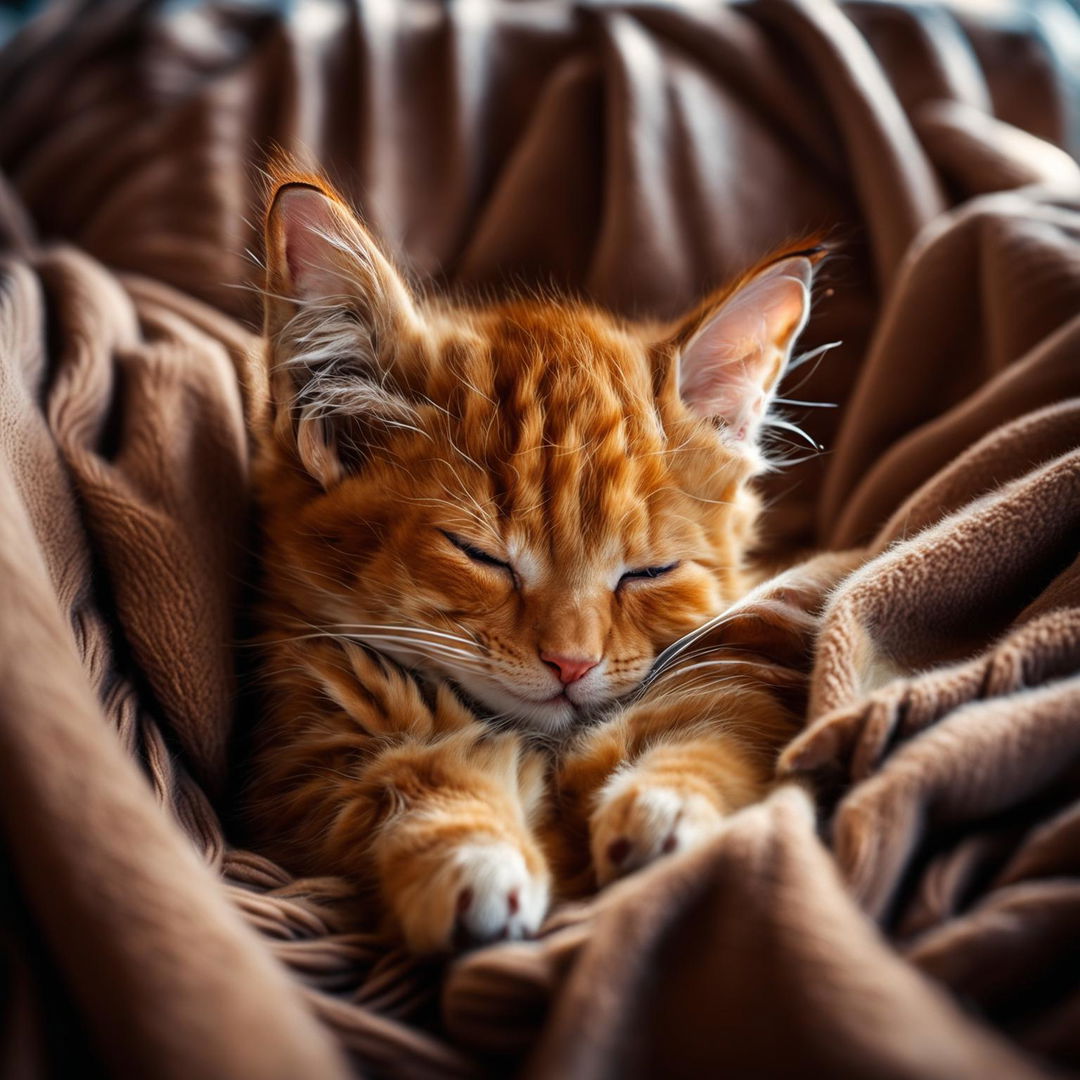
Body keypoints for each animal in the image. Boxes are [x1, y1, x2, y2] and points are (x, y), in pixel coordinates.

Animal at [245, 170, 816, 954]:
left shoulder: (739, 677)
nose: (570, 664)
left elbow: (716, 728)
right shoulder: (308, 754)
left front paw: (668, 804)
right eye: (481, 556)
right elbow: (410, 776)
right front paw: (472, 855)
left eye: (648, 572)